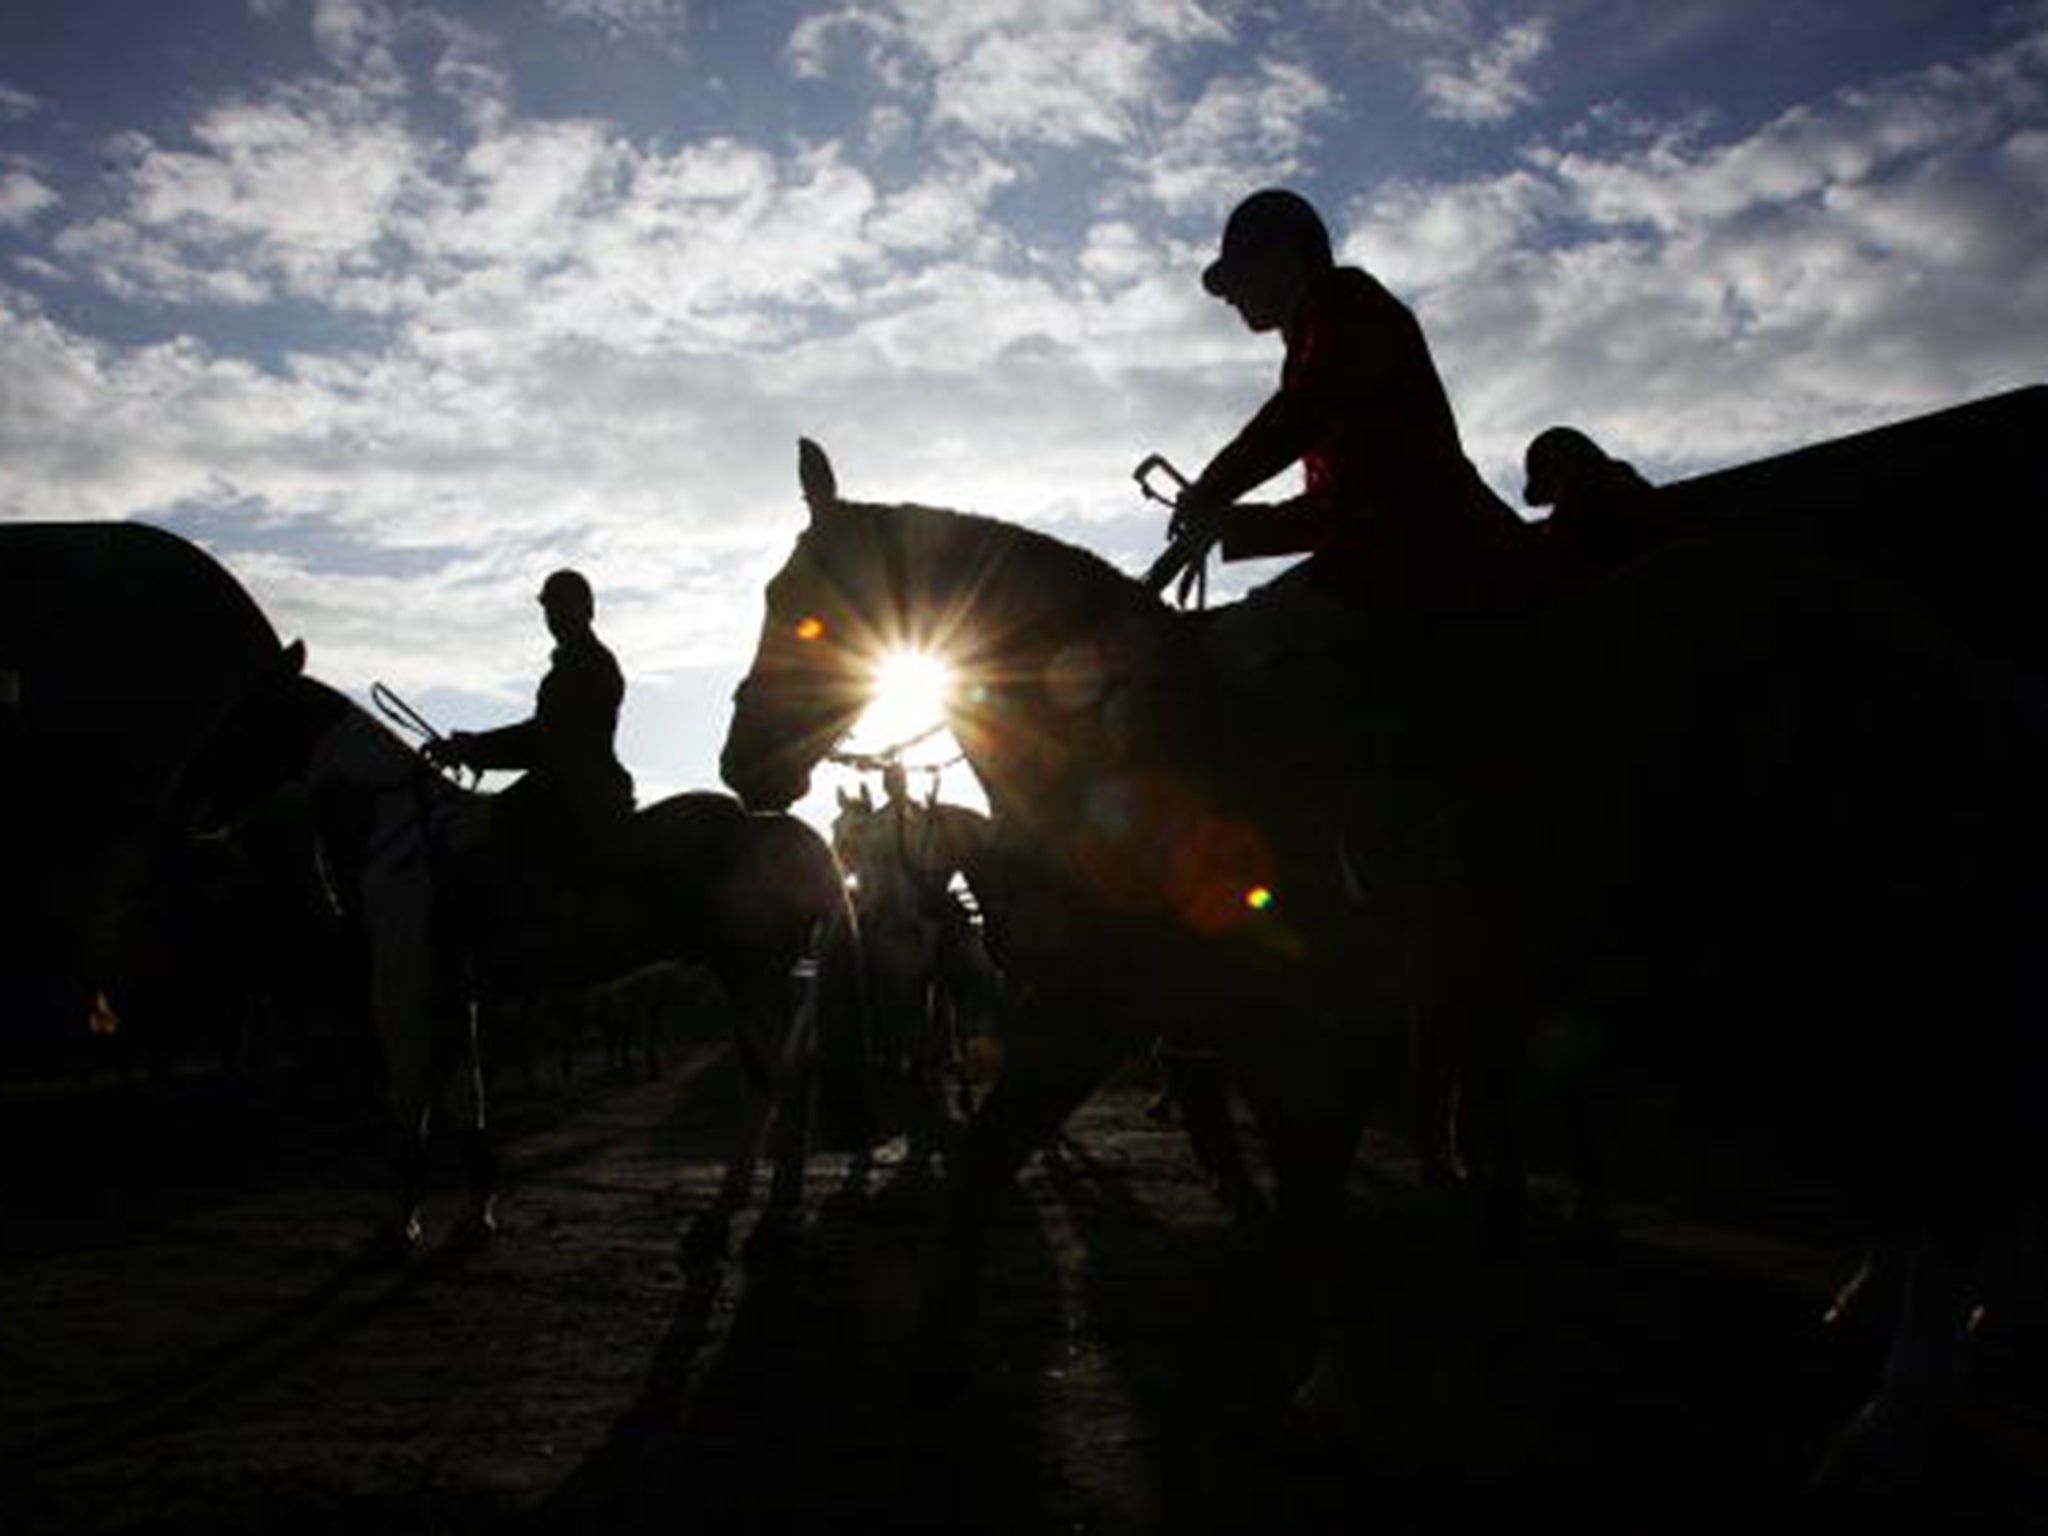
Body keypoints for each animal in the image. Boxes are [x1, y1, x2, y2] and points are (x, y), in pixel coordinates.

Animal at [180, 651, 860, 1253]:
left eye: (245, 709)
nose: (188, 791)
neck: (401, 831)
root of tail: (798, 839)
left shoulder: (402, 990)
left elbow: (412, 1099)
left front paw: (402, 1222)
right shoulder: (457, 991)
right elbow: (466, 1095)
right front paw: (477, 1212)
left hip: (753, 974)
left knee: (778, 1080)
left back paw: (752, 1216)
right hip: (753, 977)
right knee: (774, 1079)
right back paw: (747, 1208)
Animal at [724, 436, 2048, 1490]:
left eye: (797, 601)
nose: (742, 764)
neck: (1132, 737)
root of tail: (1895, 628)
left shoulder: (1277, 1027)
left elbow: (1308, 1196)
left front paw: (1338, 1379)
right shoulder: (1116, 1013)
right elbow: (997, 1161)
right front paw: (933, 1360)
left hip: (1868, 942)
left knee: (1943, 1139)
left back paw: (1894, 1409)